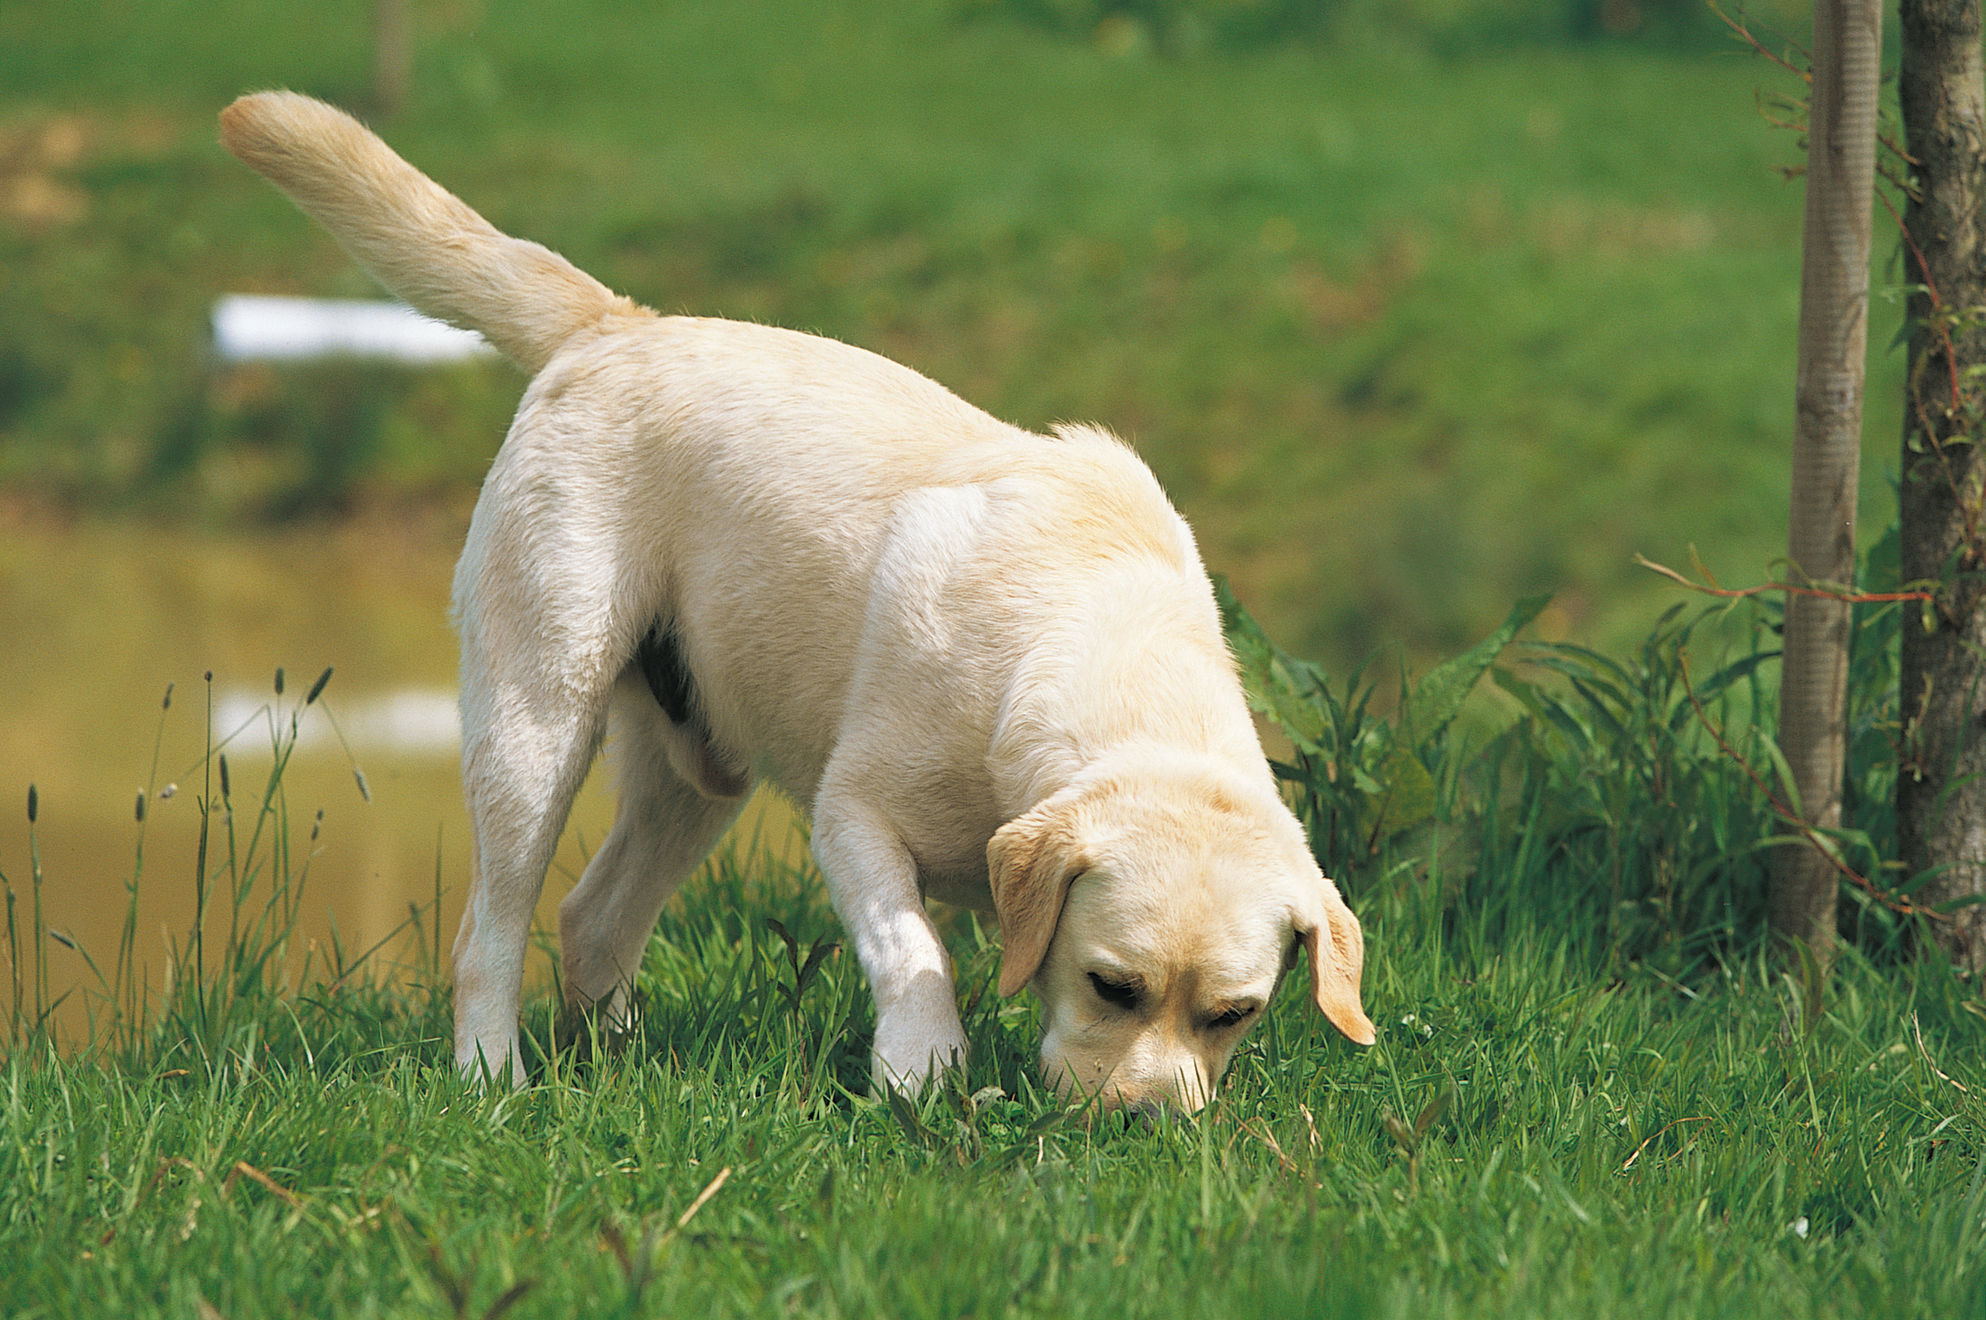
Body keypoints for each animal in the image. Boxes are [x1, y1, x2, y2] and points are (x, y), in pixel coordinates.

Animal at [213, 87, 1366, 1103]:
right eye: (1111, 986)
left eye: (1234, 1014)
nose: (1144, 1124)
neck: (1101, 639)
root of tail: (616, 324)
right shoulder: (853, 814)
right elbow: (915, 951)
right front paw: (920, 1071)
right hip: (535, 725)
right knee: (488, 935)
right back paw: (495, 1079)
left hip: (695, 774)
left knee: (594, 918)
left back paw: (620, 1066)